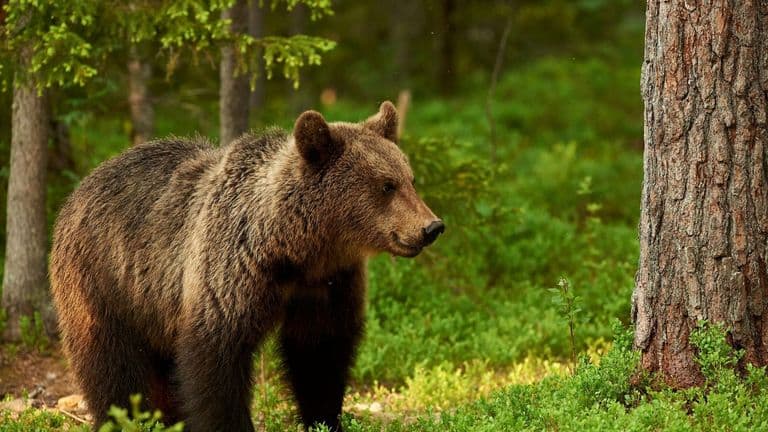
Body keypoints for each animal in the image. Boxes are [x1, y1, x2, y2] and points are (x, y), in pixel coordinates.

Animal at [49, 101, 444, 432]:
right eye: (386, 185)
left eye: (409, 179)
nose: (432, 227)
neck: (295, 249)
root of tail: (81, 186)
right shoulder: (230, 273)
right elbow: (216, 361)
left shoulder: (327, 284)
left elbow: (320, 354)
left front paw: (324, 419)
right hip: (104, 282)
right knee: (111, 365)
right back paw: (127, 418)